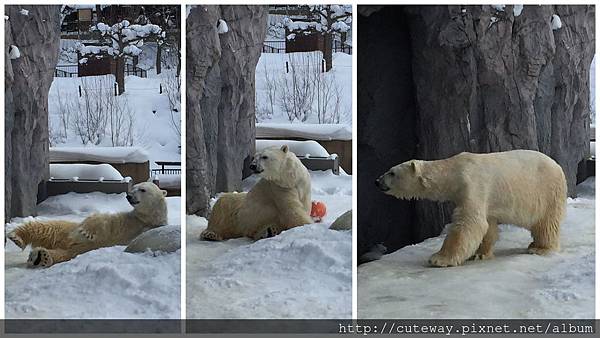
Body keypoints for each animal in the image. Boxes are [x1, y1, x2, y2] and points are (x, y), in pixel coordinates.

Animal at [7, 182, 168, 266]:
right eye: (133, 187)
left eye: (142, 189)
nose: (128, 196)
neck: (145, 219)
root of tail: (65, 242)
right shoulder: (127, 220)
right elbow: (103, 220)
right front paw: (86, 232)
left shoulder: (145, 228)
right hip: (65, 230)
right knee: (46, 228)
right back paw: (16, 237)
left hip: (75, 249)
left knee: (61, 253)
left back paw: (41, 256)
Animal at [376, 150, 568, 266]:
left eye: (392, 172)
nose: (377, 181)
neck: (454, 171)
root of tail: (558, 166)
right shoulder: (483, 199)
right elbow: (487, 225)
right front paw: (480, 254)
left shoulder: (473, 186)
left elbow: (469, 223)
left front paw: (439, 259)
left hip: (546, 191)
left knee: (546, 223)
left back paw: (540, 248)